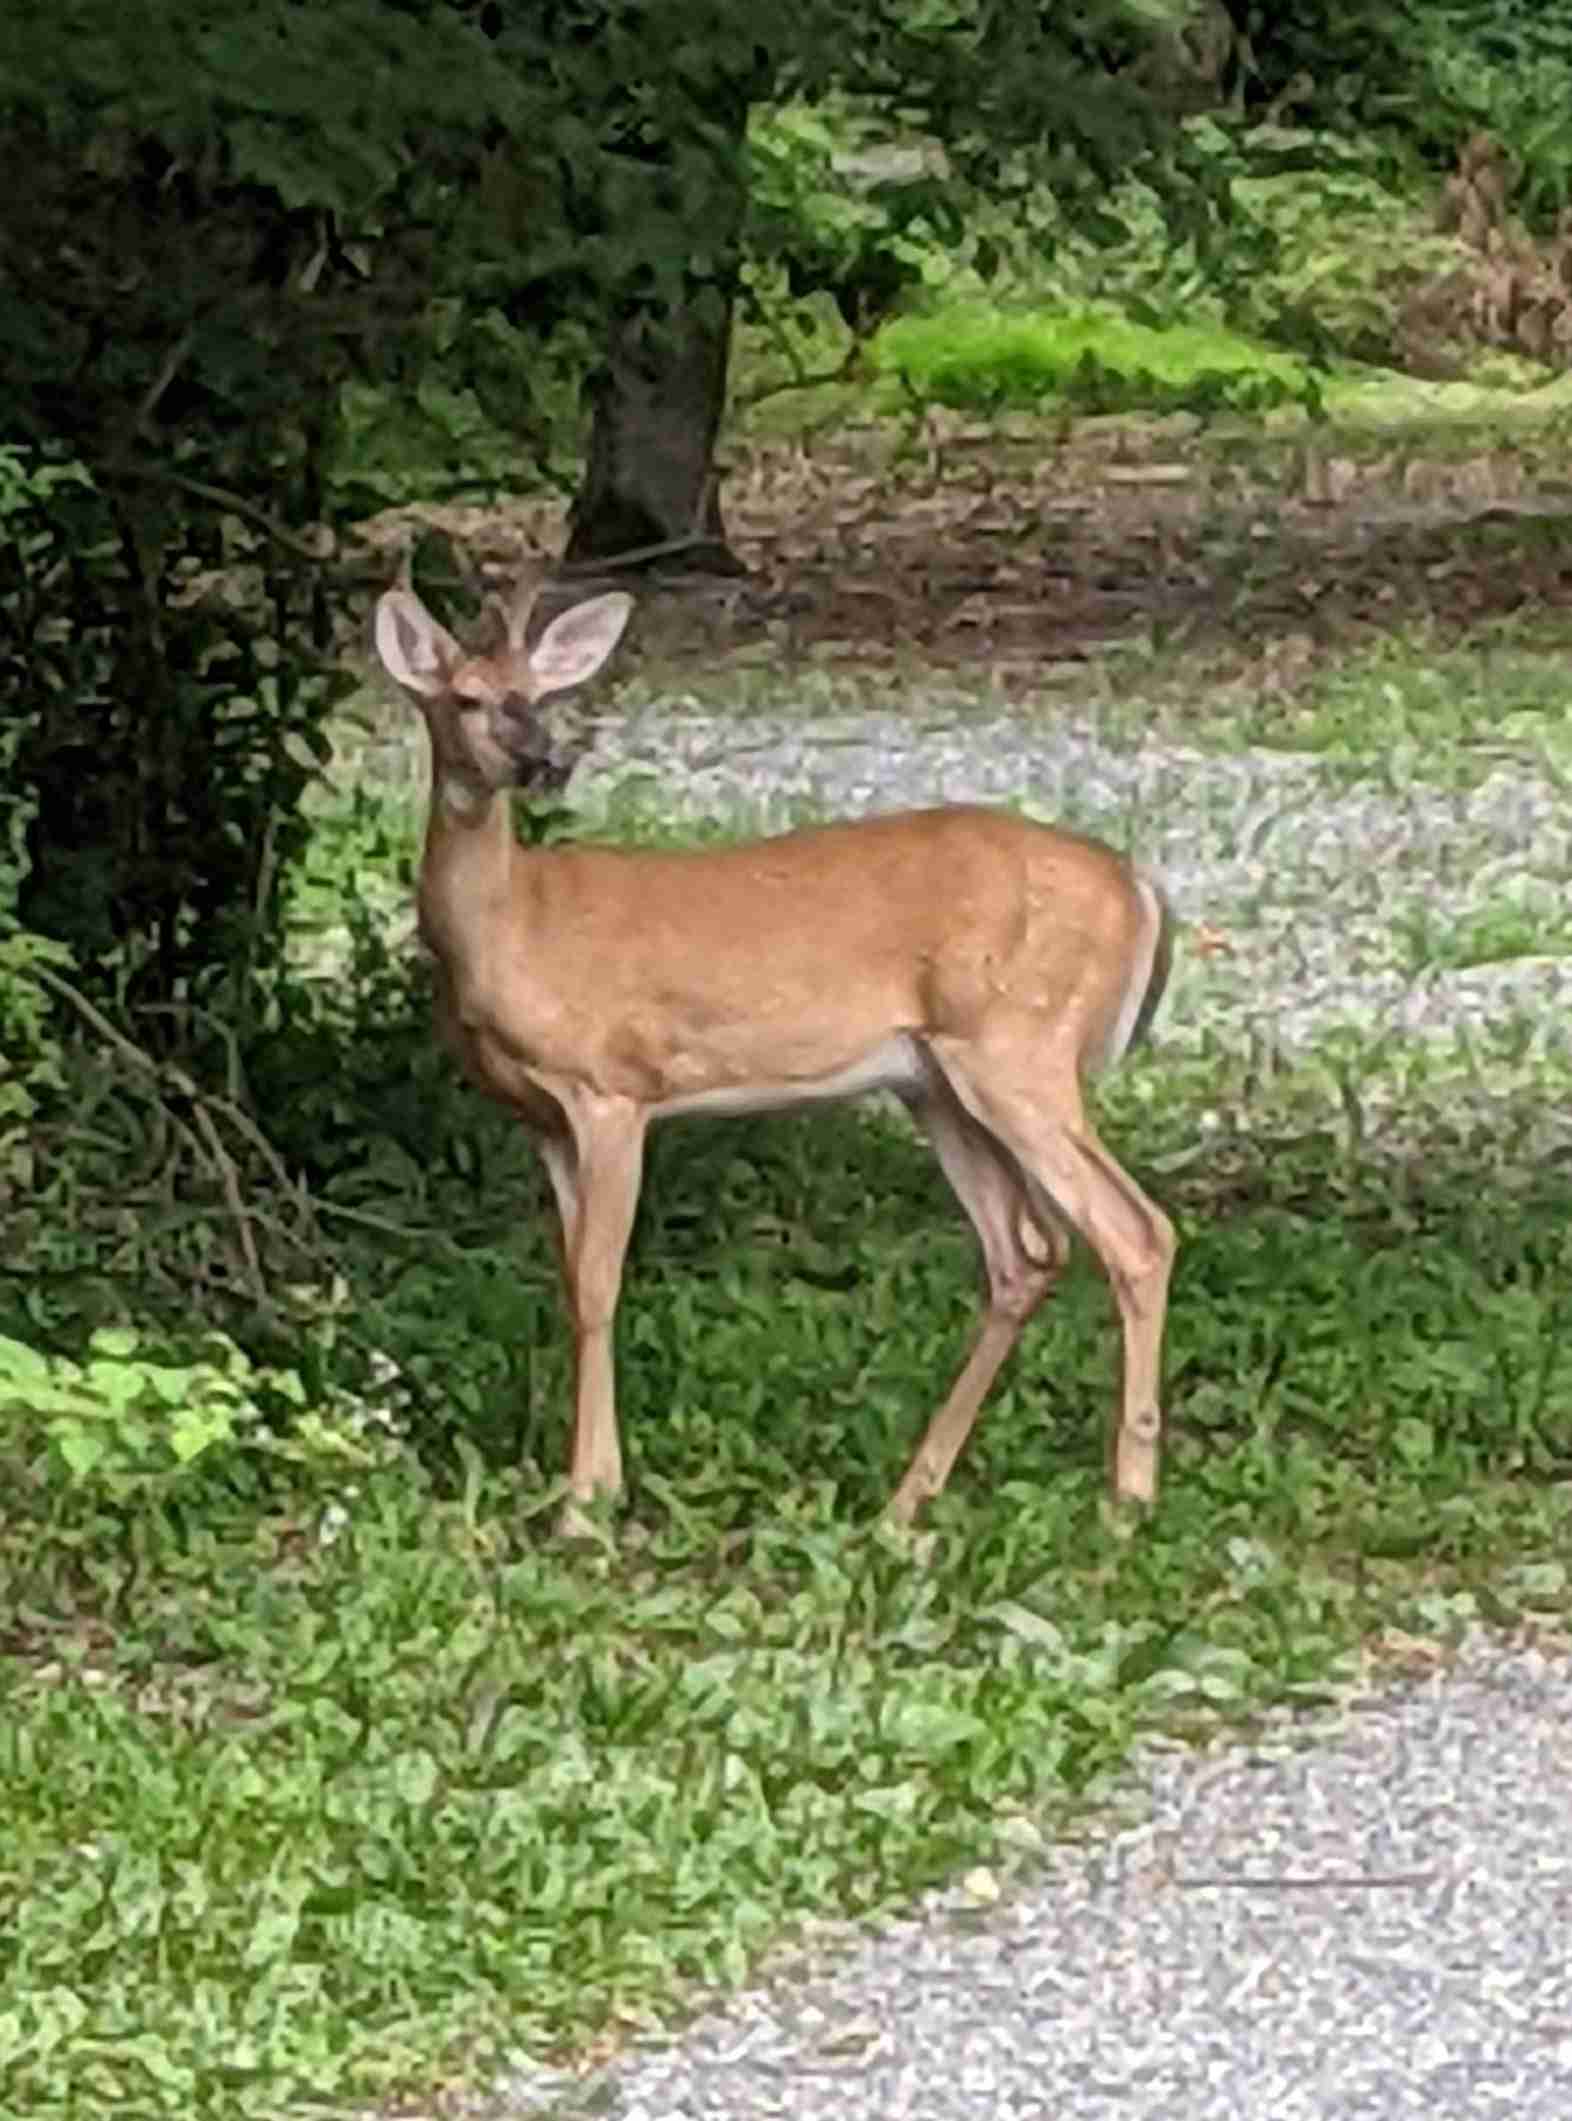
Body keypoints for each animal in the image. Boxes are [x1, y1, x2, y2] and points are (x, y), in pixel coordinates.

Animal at [373, 572, 1171, 1535]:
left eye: (538, 693)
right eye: (467, 698)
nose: (541, 762)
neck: (510, 926)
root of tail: (1139, 889)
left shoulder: (613, 1088)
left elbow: (600, 1284)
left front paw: (587, 1504)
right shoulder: (544, 1119)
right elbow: (569, 1284)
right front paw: (593, 1485)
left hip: (1021, 1047)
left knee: (1136, 1232)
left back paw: (1127, 1501)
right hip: (937, 1082)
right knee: (1026, 1254)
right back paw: (907, 1500)